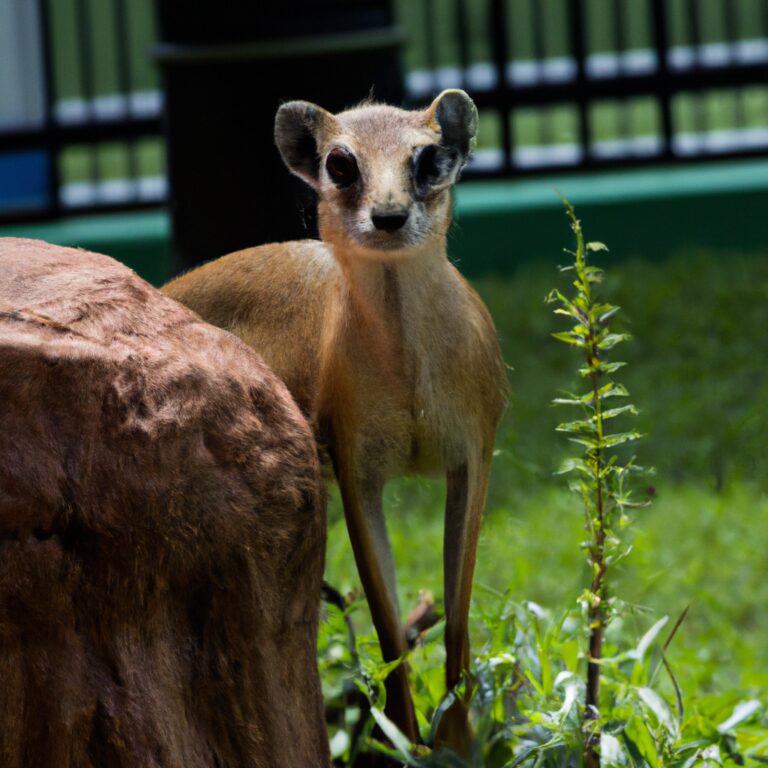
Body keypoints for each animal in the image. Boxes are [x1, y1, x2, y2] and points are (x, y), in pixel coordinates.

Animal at [165, 88, 508, 752]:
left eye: (429, 157)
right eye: (340, 163)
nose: (389, 215)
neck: (411, 386)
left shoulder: (474, 454)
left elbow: (456, 622)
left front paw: (457, 741)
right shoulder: (356, 471)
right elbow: (389, 632)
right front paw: (407, 744)